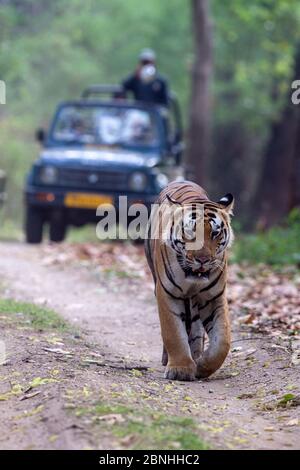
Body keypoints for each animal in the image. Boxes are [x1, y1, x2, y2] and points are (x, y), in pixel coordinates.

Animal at [145, 180, 234, 382]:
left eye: (215, 233)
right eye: (190, 231)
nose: (202, 260)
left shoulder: (214, 297)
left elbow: (223, 340)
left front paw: (202, 366)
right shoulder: (167, 293)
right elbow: (173, 332)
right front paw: (180, 369)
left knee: (196, 327)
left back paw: (196, 354)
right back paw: (169, 358)